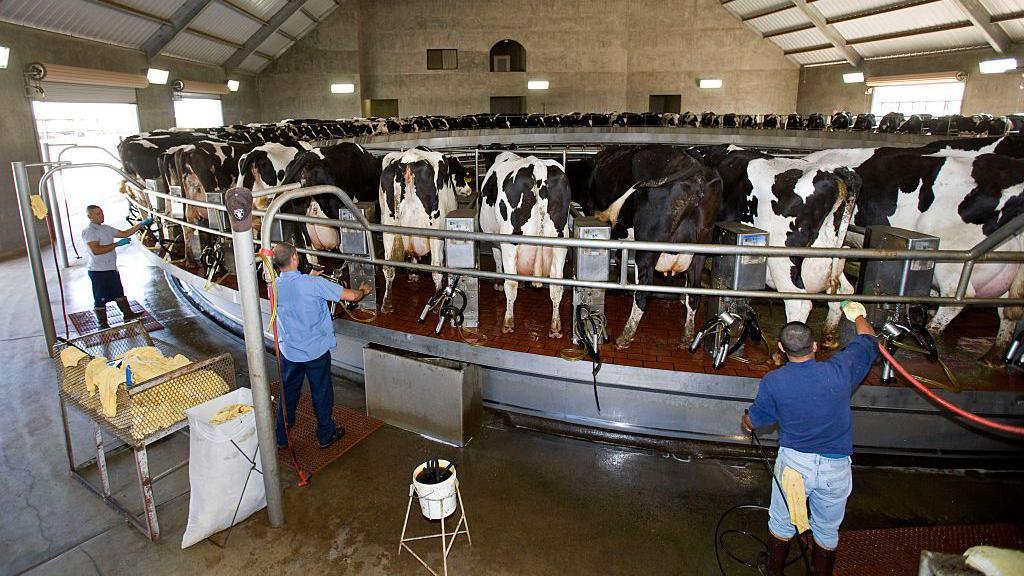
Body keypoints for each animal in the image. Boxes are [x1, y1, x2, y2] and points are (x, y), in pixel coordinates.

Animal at [477, 151, 573, 336]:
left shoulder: (495, 240)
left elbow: (498, 261)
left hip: (510, 241)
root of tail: (538, 165)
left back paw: (508, 323)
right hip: (560, 242)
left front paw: (498, 283)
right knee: (557, 286)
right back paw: (555, 327)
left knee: (511, 283)